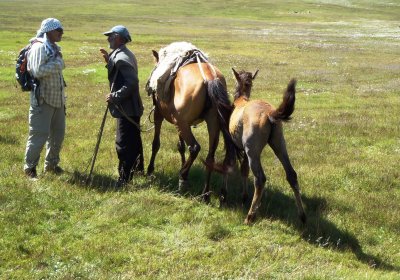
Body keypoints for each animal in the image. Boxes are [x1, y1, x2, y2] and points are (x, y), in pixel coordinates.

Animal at [145, 49, 236, 199]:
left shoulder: (159, 114)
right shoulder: (180, 122)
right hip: (212, 123)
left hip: (183, 123)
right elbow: (181, 146)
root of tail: (209, 78)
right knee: (210, 157)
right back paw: (205, 194)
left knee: (194, 147)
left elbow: (156, 143)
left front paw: (150, 170)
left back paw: (183, 177)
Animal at [228, 69, 306, 224]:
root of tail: (269, 113)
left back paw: (250, 216)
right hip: (279, 143)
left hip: (252, 151)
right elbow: (244, 169)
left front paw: (244, 196)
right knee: (291, 174)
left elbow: (242, 169)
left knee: (260, 179)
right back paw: (302, 216)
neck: (241, 100)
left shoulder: (239, 147)